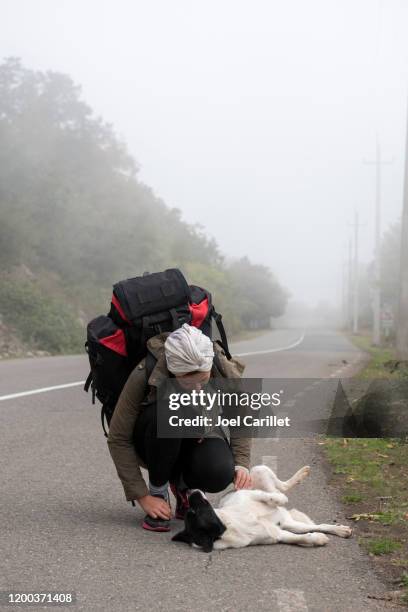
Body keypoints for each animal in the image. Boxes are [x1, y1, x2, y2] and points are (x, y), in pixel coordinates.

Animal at [171, 464, 350, 556]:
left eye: (193, 509)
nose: (190, 491)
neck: (229, 524)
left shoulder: (248, 495)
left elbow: (268, 497)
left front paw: (278, 499)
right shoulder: (278, 534)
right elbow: (300, 539)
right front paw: (317, 539)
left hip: (258, 470)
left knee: (280, 488)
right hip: (290, 524)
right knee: (313, 526)